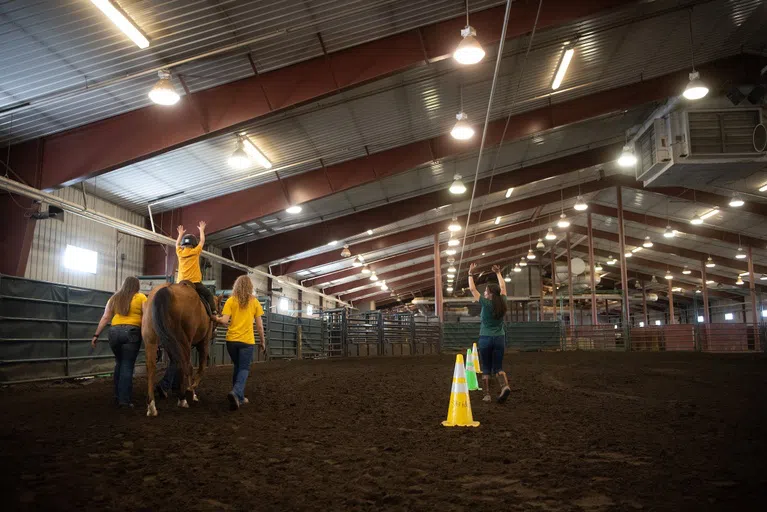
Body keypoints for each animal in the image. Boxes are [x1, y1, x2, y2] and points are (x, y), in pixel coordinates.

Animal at [142, 282, 219, 418]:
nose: (215, 332)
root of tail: (165, 290)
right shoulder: (203, 343)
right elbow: (201, 367)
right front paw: (192, 391)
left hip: (152, 339)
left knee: (151, 367)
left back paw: (152, 406)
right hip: (183, 339)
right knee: (186, 365)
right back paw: (183, 398)